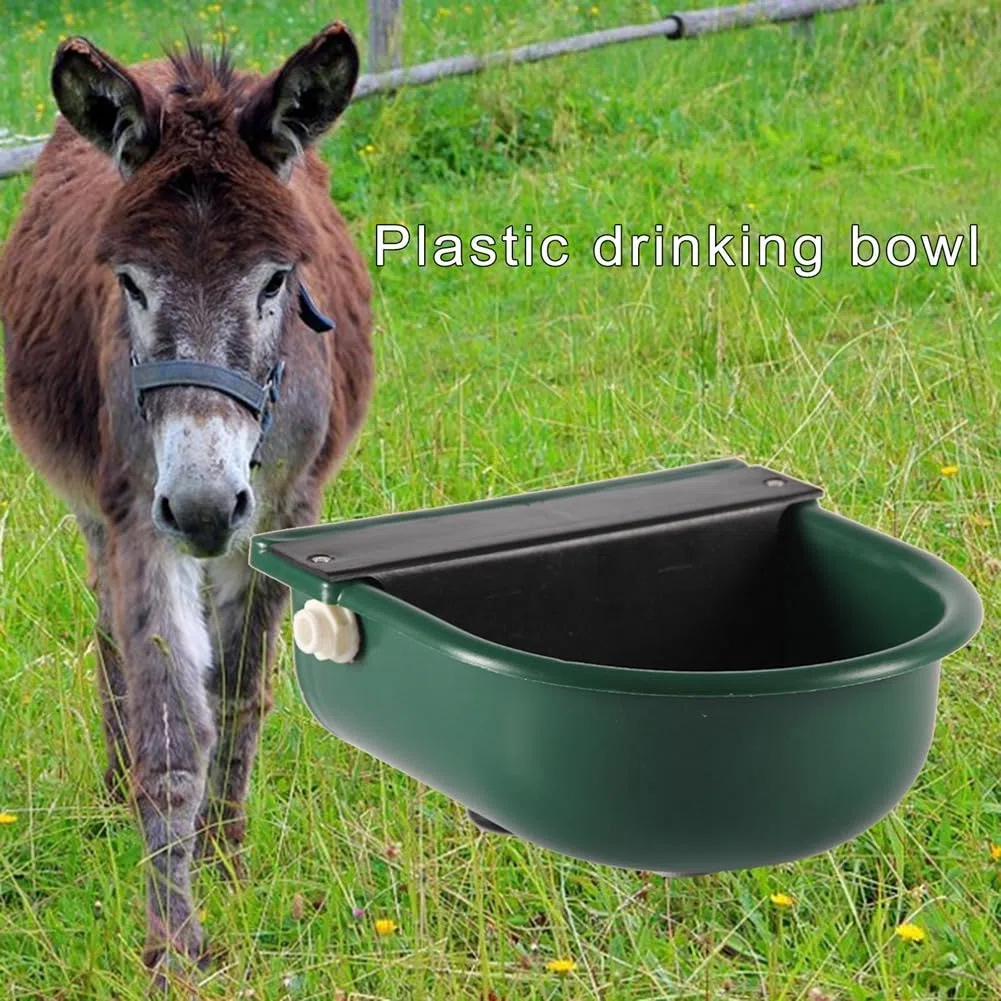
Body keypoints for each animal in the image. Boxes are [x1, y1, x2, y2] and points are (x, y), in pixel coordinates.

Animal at [0, 22, 374, 986]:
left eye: (276, 280)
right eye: (130, 282)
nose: (204, 508)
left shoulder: (282, 510)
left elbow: (238, 695)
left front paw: (227, 860)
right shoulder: (139, 512)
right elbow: (170, 729)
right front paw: (171, 945)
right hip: (102, 512)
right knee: (108, 634)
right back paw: (110, 794)